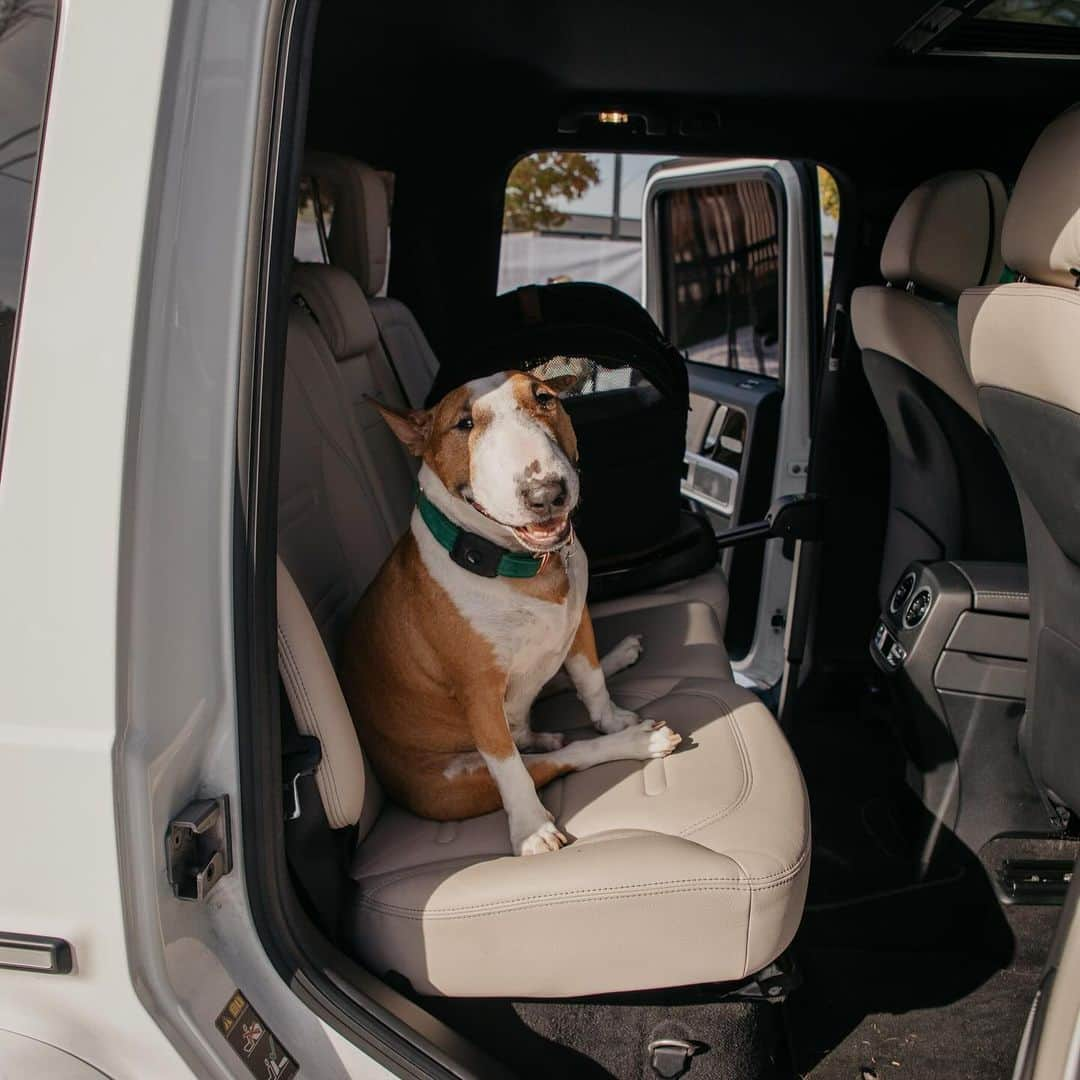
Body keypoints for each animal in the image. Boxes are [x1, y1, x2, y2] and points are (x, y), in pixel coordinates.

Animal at [343, 371, 682, 851]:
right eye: (463, 423)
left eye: (545, 398)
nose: (547, 494)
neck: (521, 565)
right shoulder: (479, 694)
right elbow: (511, 769)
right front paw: (531, 829)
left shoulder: (577, 622)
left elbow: (590, 679)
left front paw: (612, 718)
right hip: (457, 780)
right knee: (555, 756)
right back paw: (637, 743)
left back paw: (617, 661)